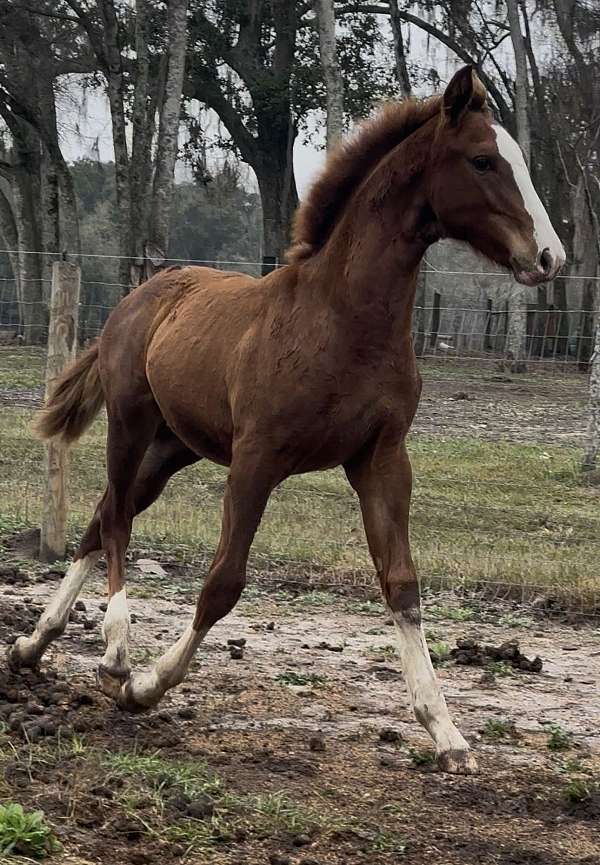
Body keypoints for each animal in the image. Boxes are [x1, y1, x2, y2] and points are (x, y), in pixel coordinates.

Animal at [8, 66, 565, 775]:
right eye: (483, 161)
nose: (548, 257)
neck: (341, 321)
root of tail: (142, 294)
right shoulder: (258, 460)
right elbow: (223, 582)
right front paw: (146, 685)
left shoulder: (382, 460)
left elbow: (402, 584)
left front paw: (447, 733)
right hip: (130, 426)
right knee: (116, 525)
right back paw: (114, 652)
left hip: (173, 448)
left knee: (103, 517)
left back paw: (32, 646)